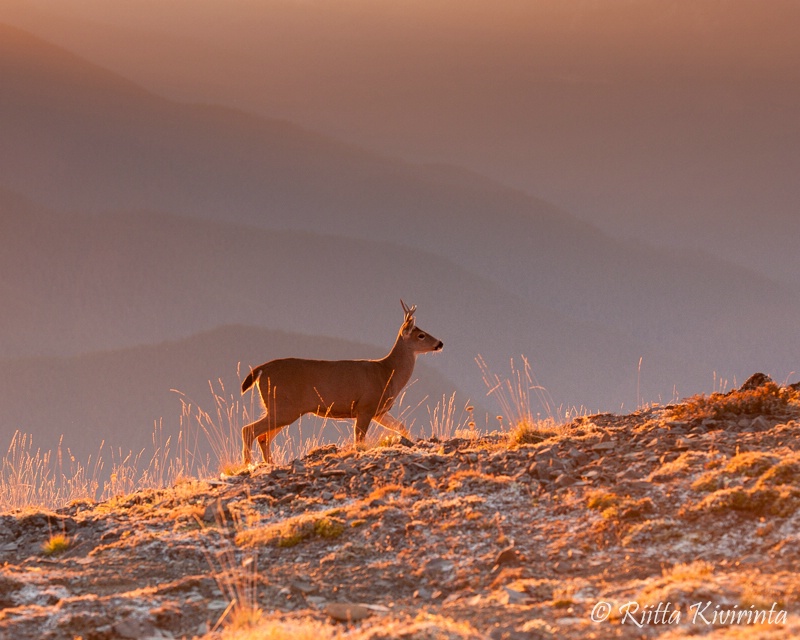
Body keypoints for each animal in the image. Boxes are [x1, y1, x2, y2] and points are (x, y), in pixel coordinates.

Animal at [244, 300, 444, 464]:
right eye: (421, 335)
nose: (440, 343)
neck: (387, 373)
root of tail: (261, 369)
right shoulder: (366, 406)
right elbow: (359, 439)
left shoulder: (379, 411)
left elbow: (402, 427)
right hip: (283, 406)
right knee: (249, 430)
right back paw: (248, 464)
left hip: (282, 408)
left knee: (263, 437)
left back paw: (270, 464)